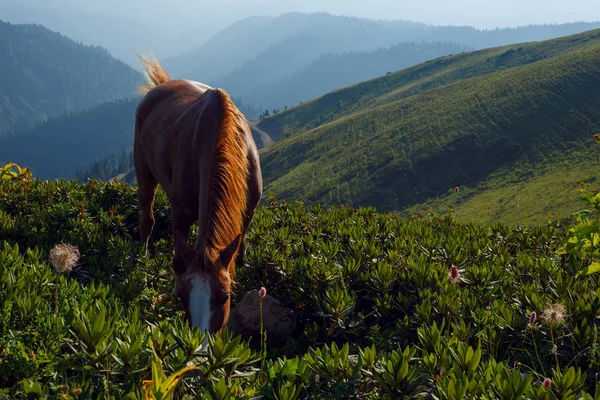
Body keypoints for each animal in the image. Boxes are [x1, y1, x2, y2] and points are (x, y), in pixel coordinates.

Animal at [135, 54, 262, 332]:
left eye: (225, 296)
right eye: (184, 297)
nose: (200, 340)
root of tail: (162, 85)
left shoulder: (246, 216)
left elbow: (239, 254)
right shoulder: (179, 214)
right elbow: (179, 262)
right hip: (143, 171)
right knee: (146, 218)